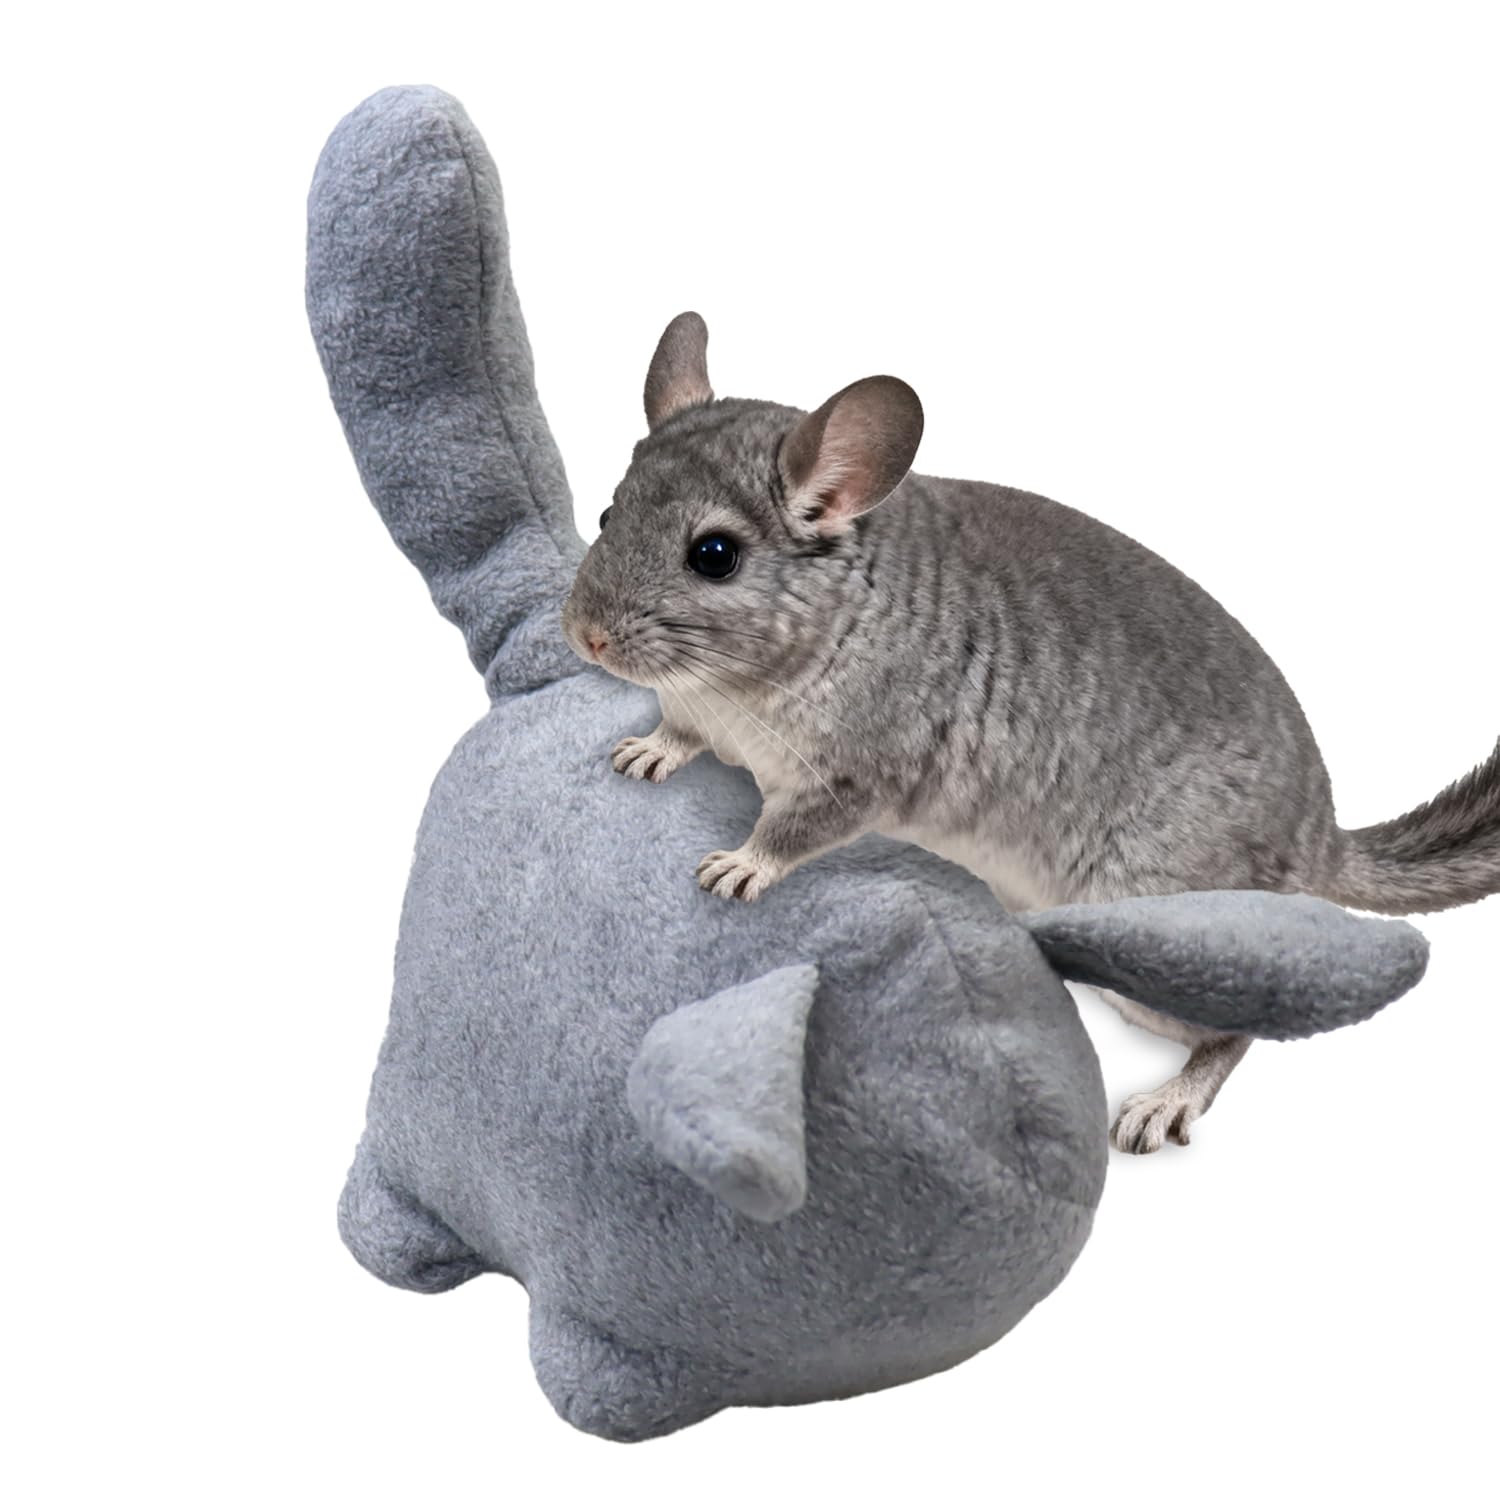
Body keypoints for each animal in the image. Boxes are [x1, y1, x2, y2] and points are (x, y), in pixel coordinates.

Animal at [561, 311, 1500, 1152]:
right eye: (606, 516)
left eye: (713, 555)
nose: (585, 636)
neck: (742, 686)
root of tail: (1322, 842)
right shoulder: (699, 708)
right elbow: (675, 732)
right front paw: (642, 752)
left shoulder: (857, 772)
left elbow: (791, 832)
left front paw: (736, 868)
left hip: (1149, 919)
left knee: (1233, 1031)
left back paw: (1163, 1105)